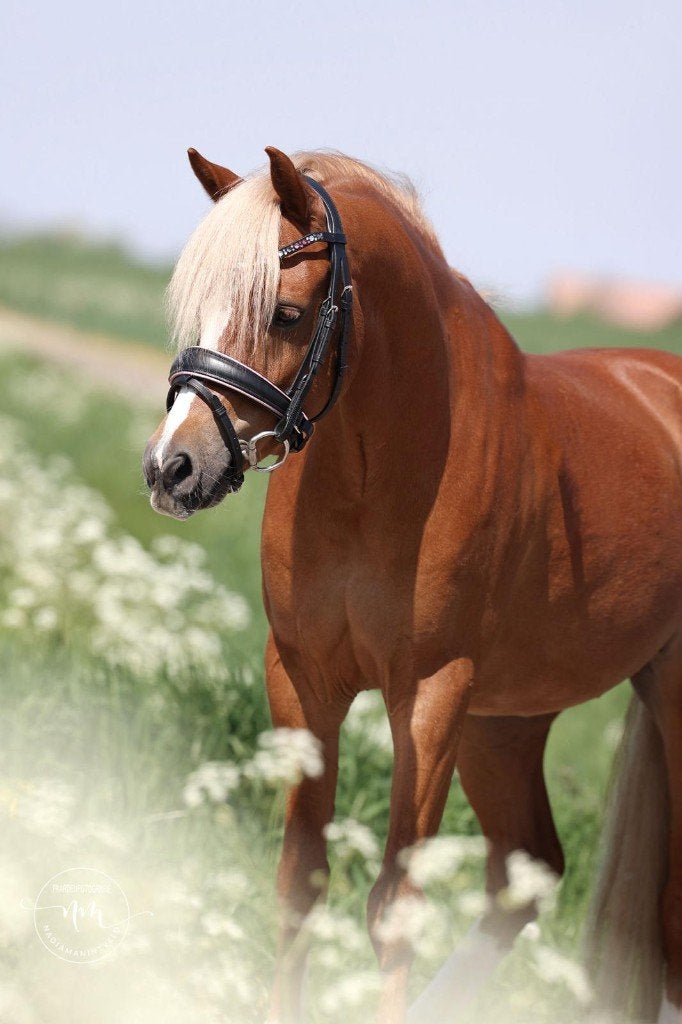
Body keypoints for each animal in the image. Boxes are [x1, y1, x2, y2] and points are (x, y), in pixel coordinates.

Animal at [143, 146, 682, 1024]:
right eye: (198, 308)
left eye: (286, 313)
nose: (171, 468)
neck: (383, 466)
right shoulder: (304, 681)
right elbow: (300, 884)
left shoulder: (429, 698)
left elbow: (393, 910)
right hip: (507, 722)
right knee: (528, 871)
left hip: (654, 699)